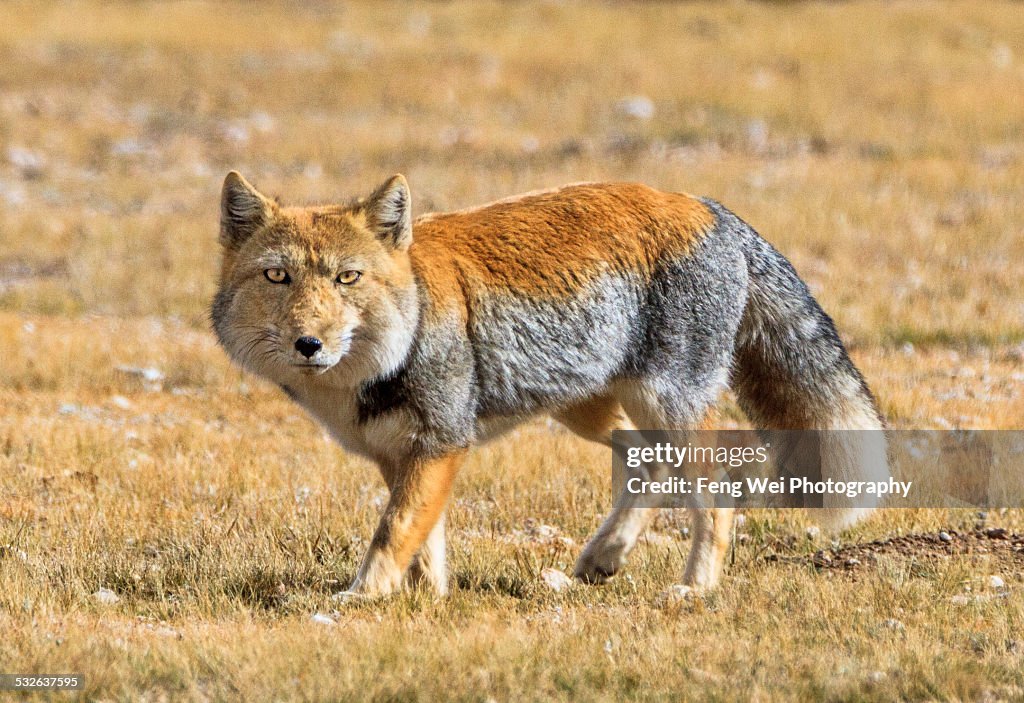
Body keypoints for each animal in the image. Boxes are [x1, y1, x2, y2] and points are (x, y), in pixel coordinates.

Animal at [211, 172, 888, 598]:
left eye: (346, 278)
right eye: (277, 277)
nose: (309, 344)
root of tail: (701, 202)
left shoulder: (441, 442)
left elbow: (394, 532)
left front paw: (361, 599)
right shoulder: (398, 454)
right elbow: (424, 542)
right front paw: (426, 602)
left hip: (665, 408)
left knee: (716, 495)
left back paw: (695, 589)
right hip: (591, 412)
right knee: (647, 466)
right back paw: (602, 558)